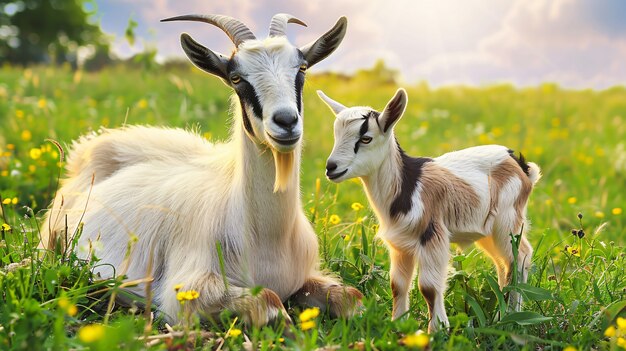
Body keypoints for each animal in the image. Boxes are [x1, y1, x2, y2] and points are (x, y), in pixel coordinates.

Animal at [40, 13, 360, 328]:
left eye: (302, 68)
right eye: (236, 77)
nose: (286, 121)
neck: (268, 240)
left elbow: (352, 299)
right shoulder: (186, 291)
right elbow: (270, 303)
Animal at [320, 88, 540, 332]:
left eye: (365, 138)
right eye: (337, 135)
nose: (331, 167)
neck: (407, 185)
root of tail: (520, 164)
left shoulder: (432, 235)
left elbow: (428, 287)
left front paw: (438, 330)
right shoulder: (400, 244)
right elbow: (397, 284)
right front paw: (398, 324)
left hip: (508, 220)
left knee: (520, 256)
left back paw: (510, 318)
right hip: (488, 231)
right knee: (503, 263)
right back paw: (502, 314)